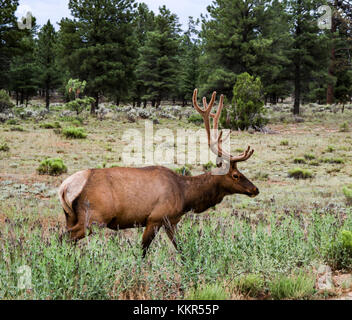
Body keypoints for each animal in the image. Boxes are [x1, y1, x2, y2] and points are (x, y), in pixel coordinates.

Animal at [58, 88, 258, 258]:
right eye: (236, 175)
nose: (255, 189)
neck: (185, 195)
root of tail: (64, 188)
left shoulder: (171, 221)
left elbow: (181, 248)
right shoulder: (155, 218)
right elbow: (143, 251)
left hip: (70, 216)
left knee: (64, 237)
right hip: (93, 218)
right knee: (64, 237)